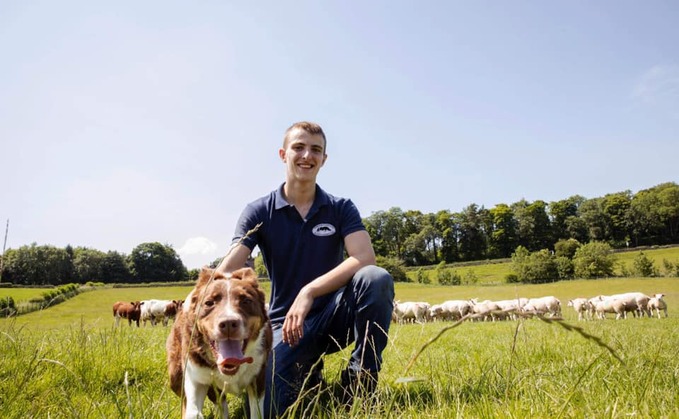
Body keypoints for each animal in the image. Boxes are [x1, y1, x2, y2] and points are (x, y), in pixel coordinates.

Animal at [166, 268, 272, 418]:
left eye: (246, 300)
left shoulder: (257, 376)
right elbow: (197, 408)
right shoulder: (199, 376)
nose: (228, 323)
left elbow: (256, 411)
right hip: (176, 374)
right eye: (209, 303)